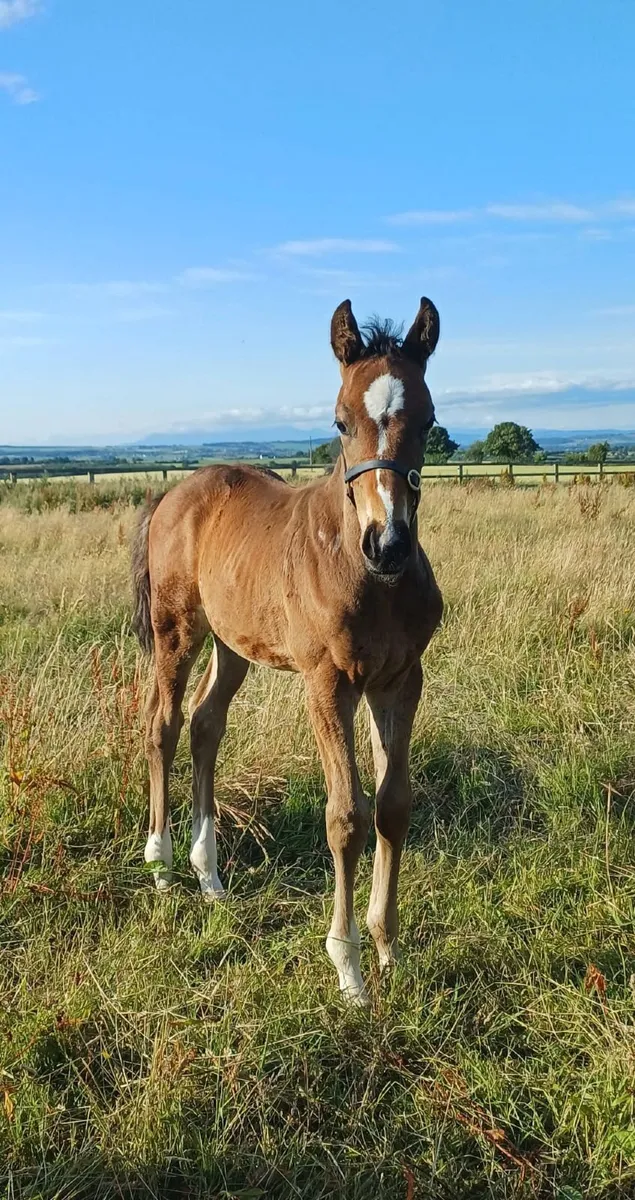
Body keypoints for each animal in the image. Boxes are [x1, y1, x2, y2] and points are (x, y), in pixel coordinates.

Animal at [131, 295, 443, 1003]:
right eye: (339, 421)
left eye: (429, 419)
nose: (388, 544)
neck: (367, 575)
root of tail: (173, 494)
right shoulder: (328, 683)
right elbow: (346, 817)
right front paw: (349, 968)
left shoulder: (401, 680)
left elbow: (393, 806)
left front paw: (389, 950)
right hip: (176, 629)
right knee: (163, 724)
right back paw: (162, 865)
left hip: (232, 644)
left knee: (205, 725)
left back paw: (210, 877)